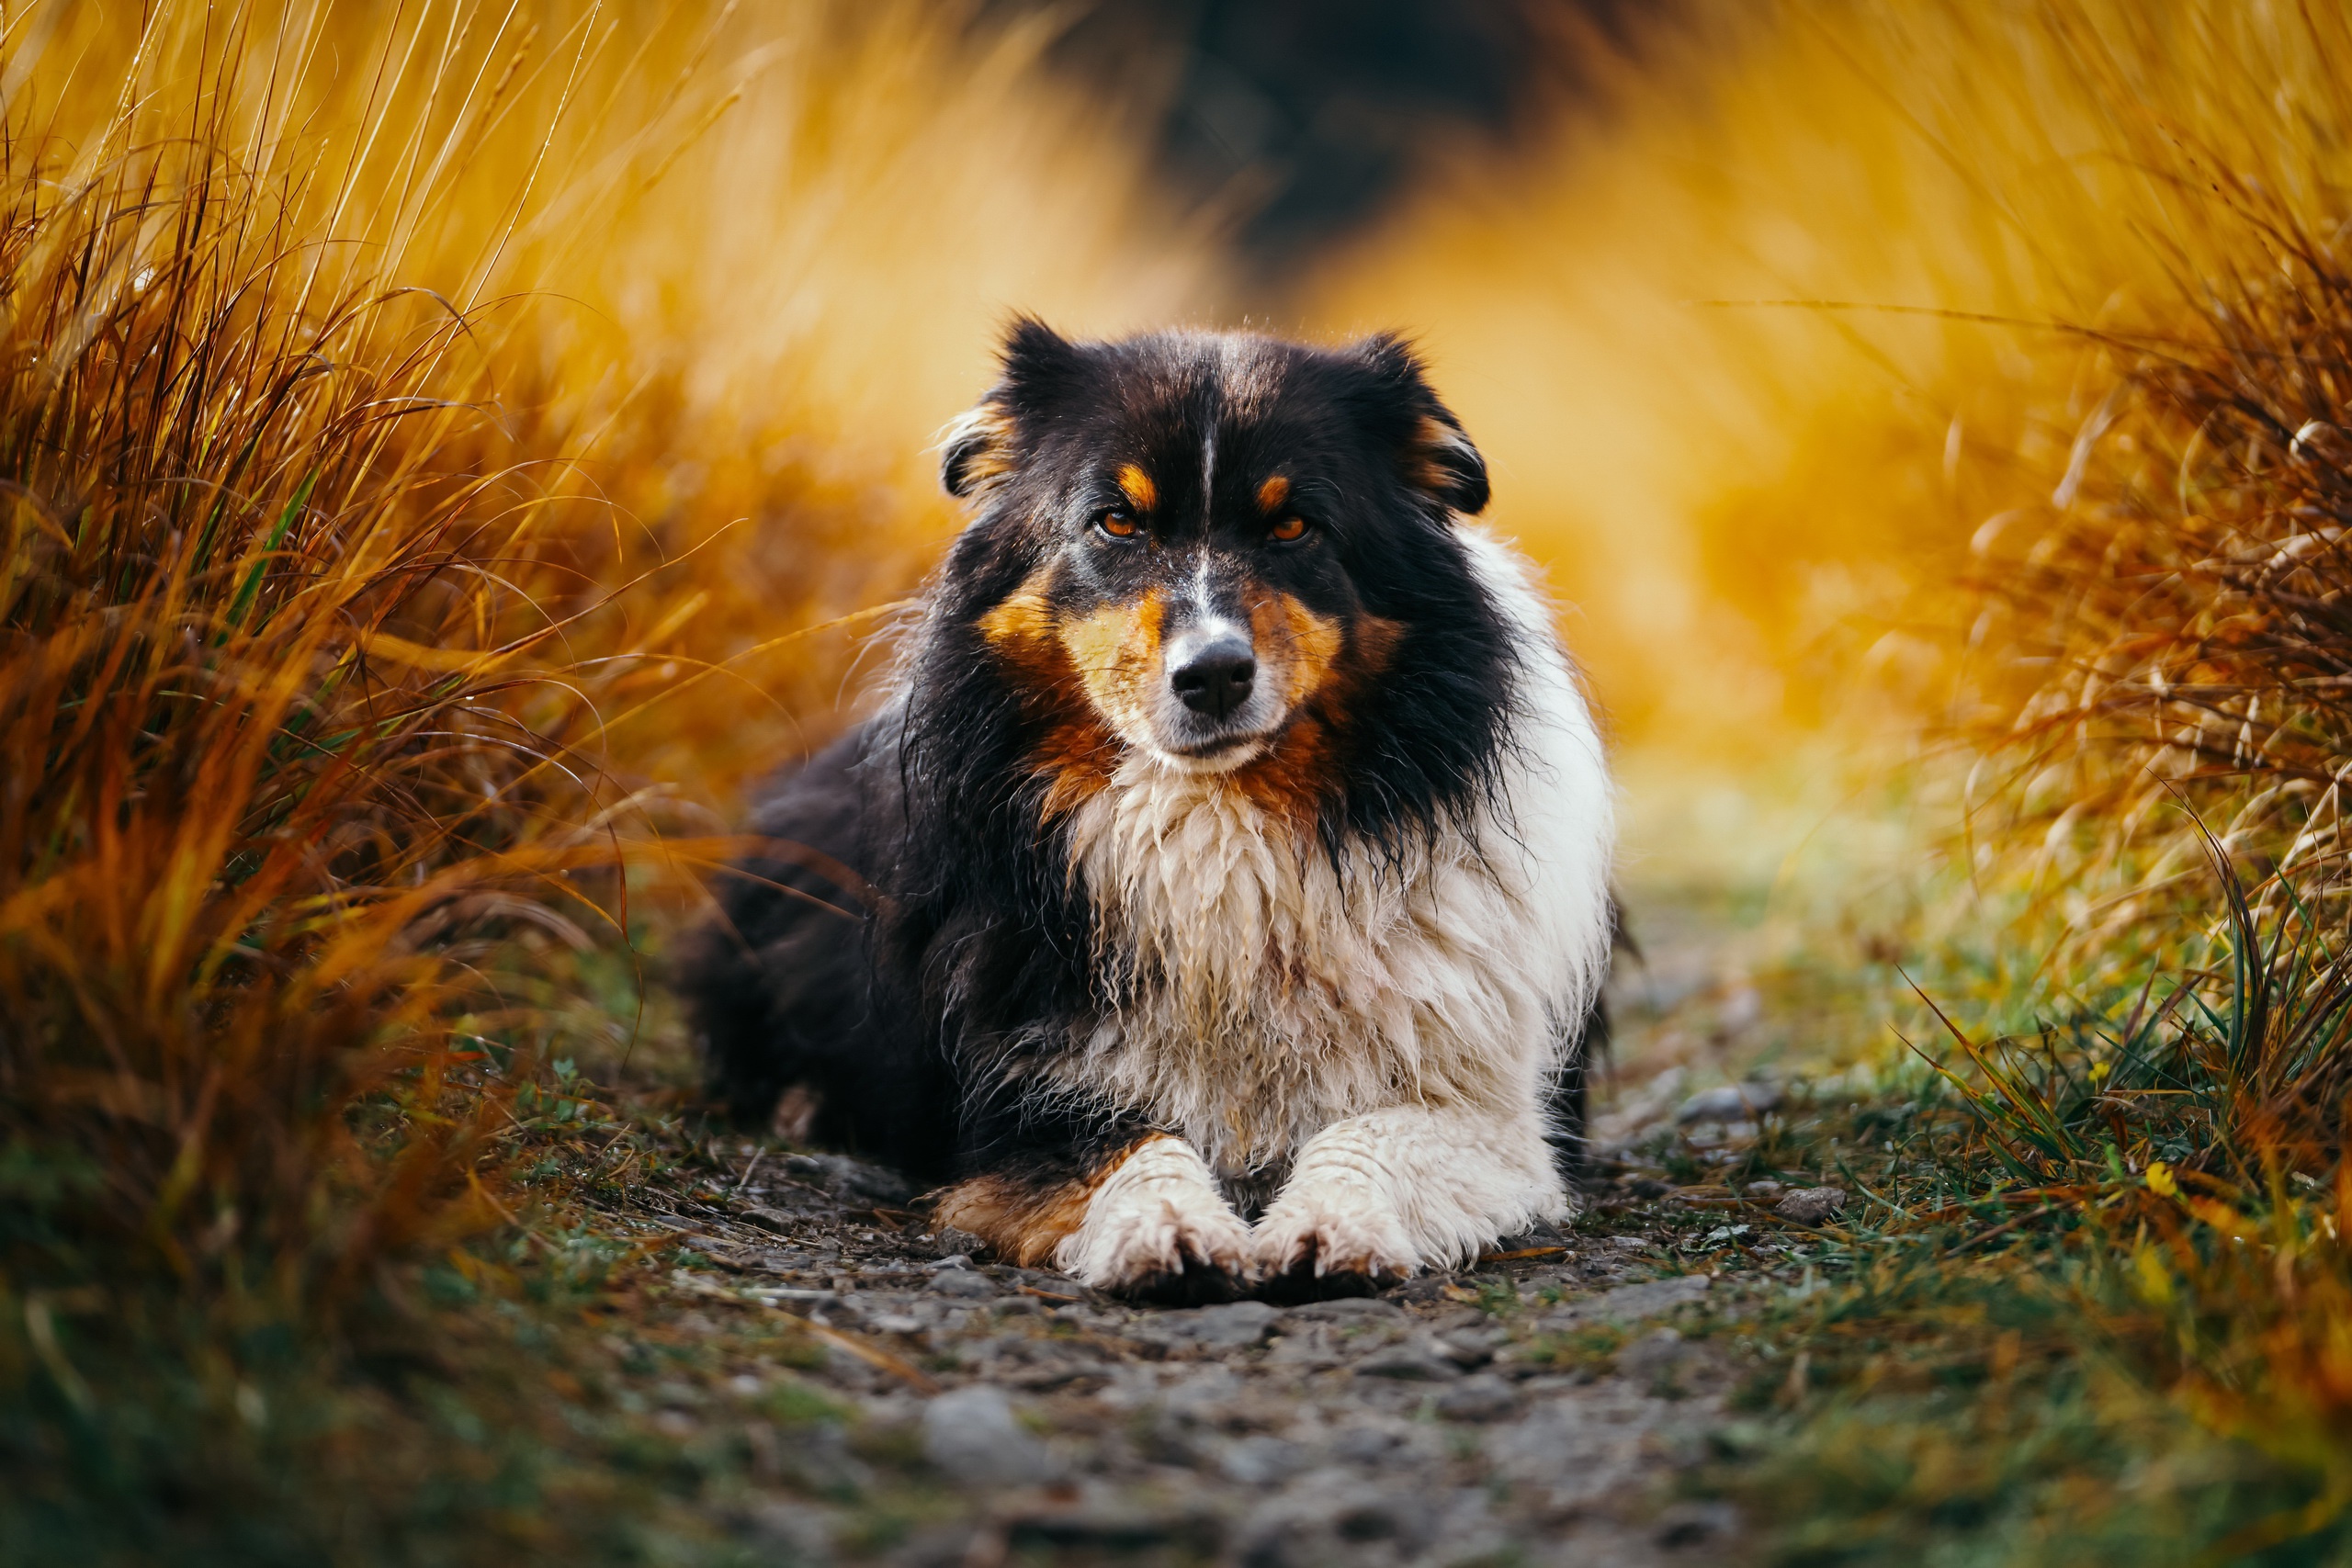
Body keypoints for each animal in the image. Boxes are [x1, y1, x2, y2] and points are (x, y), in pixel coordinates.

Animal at [682, 324, 1618, 1306]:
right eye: (1117, 522)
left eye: (1294, 525)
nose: (1213, 675)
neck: (1222, 826)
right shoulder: (1023, 1100)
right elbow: (1133, 1145)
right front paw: (1171, 1231)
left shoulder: (1500, 1119)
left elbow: (1367, 1133)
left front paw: (1330, 1226)